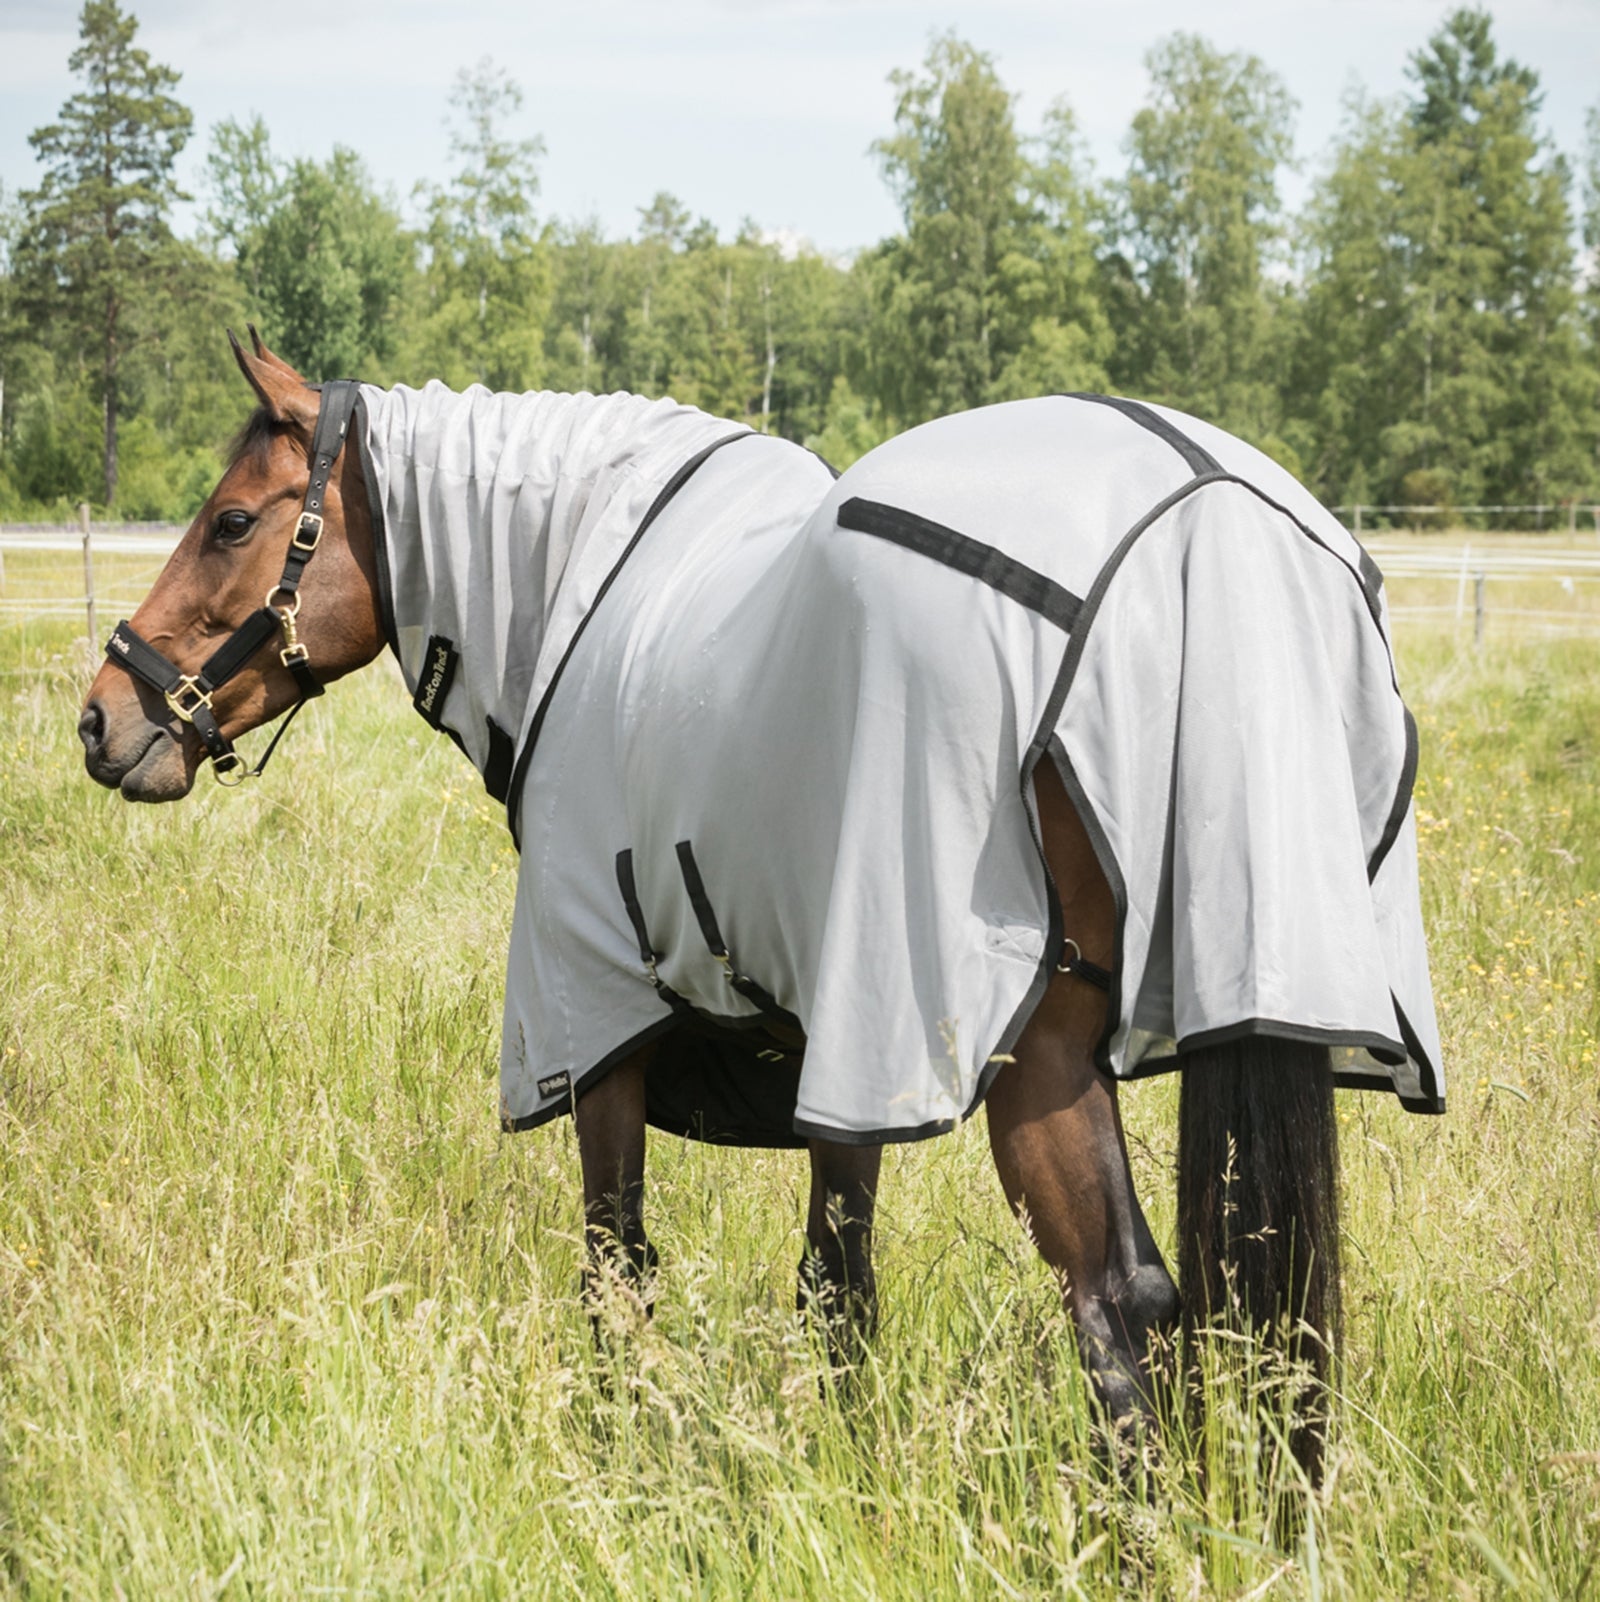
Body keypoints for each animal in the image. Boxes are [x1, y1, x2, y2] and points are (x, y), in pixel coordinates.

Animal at [79, 331, 1443, 1483]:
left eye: (232, 521)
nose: (103, 717)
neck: (580, 593)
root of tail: (1206, 511)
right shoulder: (839, 1053)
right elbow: (836, 1282)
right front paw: (845, 1475)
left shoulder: (599, 1031)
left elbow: (616, 1269)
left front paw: (623, 1470)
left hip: (1039, 1054)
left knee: (1116, 1305)